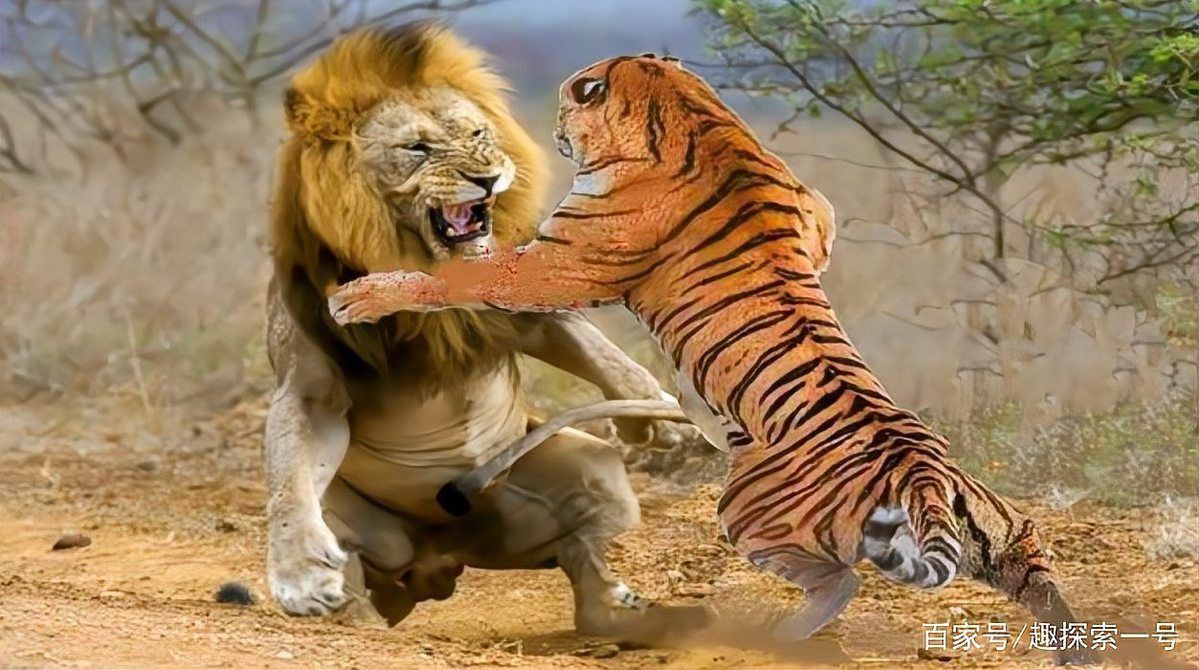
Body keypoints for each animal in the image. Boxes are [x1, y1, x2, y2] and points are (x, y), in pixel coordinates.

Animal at [326, 54, 1092, 664]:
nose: (551, 131)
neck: (689, 110)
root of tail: (927, 476)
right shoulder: (816, 212)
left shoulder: (556, 265)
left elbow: (461, 276)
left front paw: (361, 297)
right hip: (1005, 535)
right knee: (1038, 576)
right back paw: (1077, 649)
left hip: (748, 509)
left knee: (838, 579)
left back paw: (773, 637)